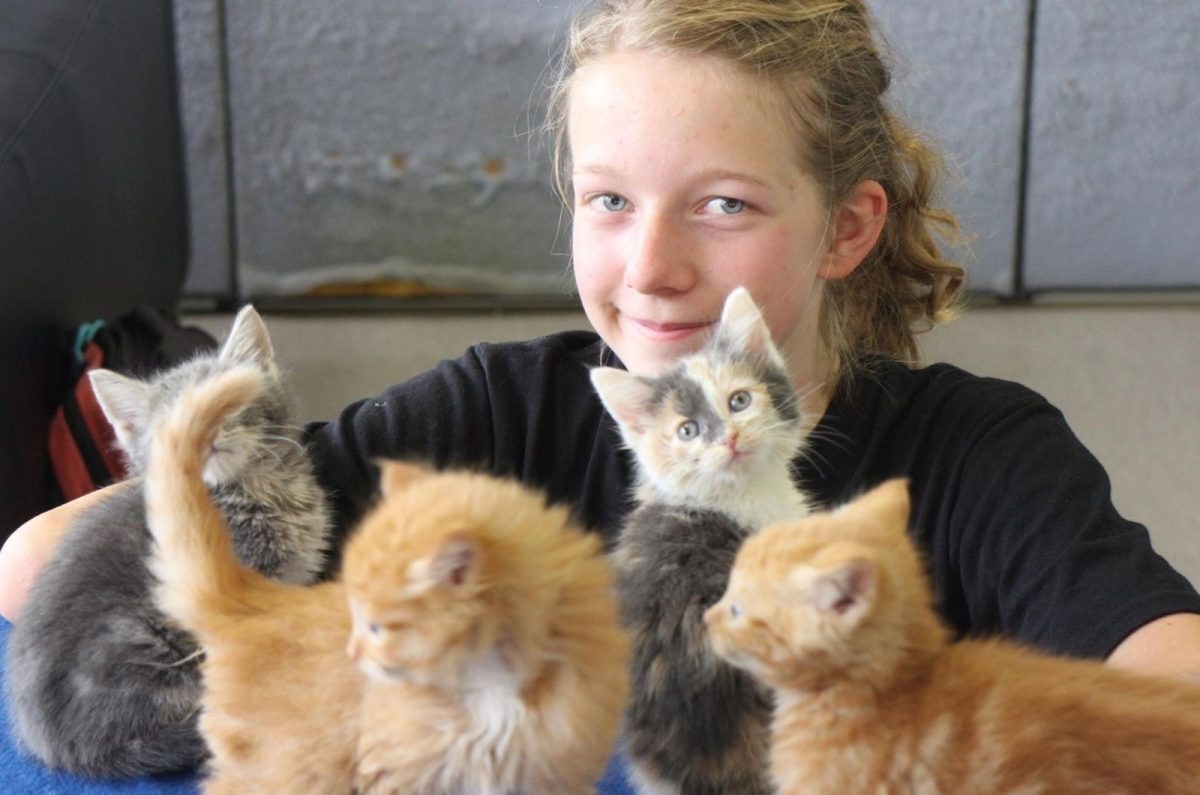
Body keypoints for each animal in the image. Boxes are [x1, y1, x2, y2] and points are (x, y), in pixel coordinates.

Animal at [142, 367, 628, 795]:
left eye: (376, 628)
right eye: (356, 618)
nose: (352, 653)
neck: (491, 693)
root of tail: (254, 594)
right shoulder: (393, 766)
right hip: (295, 769)